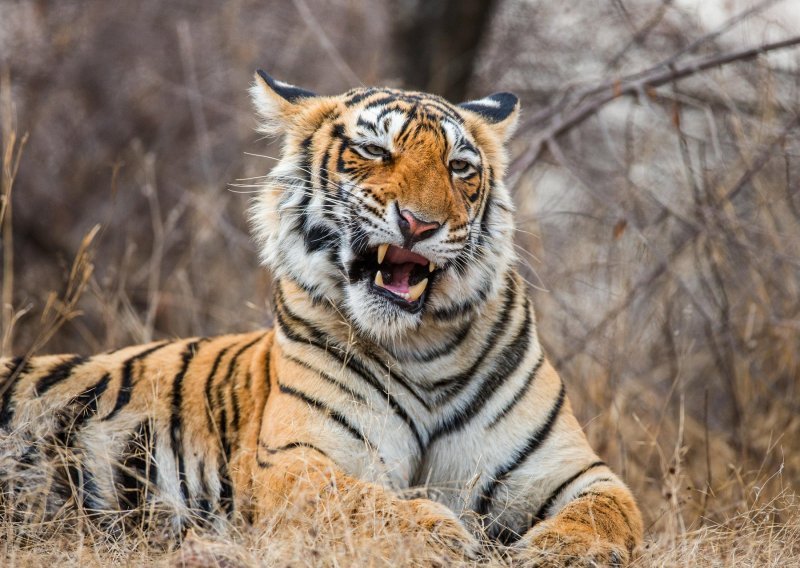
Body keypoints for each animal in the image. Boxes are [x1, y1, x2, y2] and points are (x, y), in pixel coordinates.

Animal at [0, 73, 640, 564]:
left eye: (460, 166)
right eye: (376, 151)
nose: (421, 224)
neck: (422, 347)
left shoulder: (571, 470)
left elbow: (610, 512)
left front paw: (558, 551)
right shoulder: (295, 460)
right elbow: (361, 503)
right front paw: (439, 535)